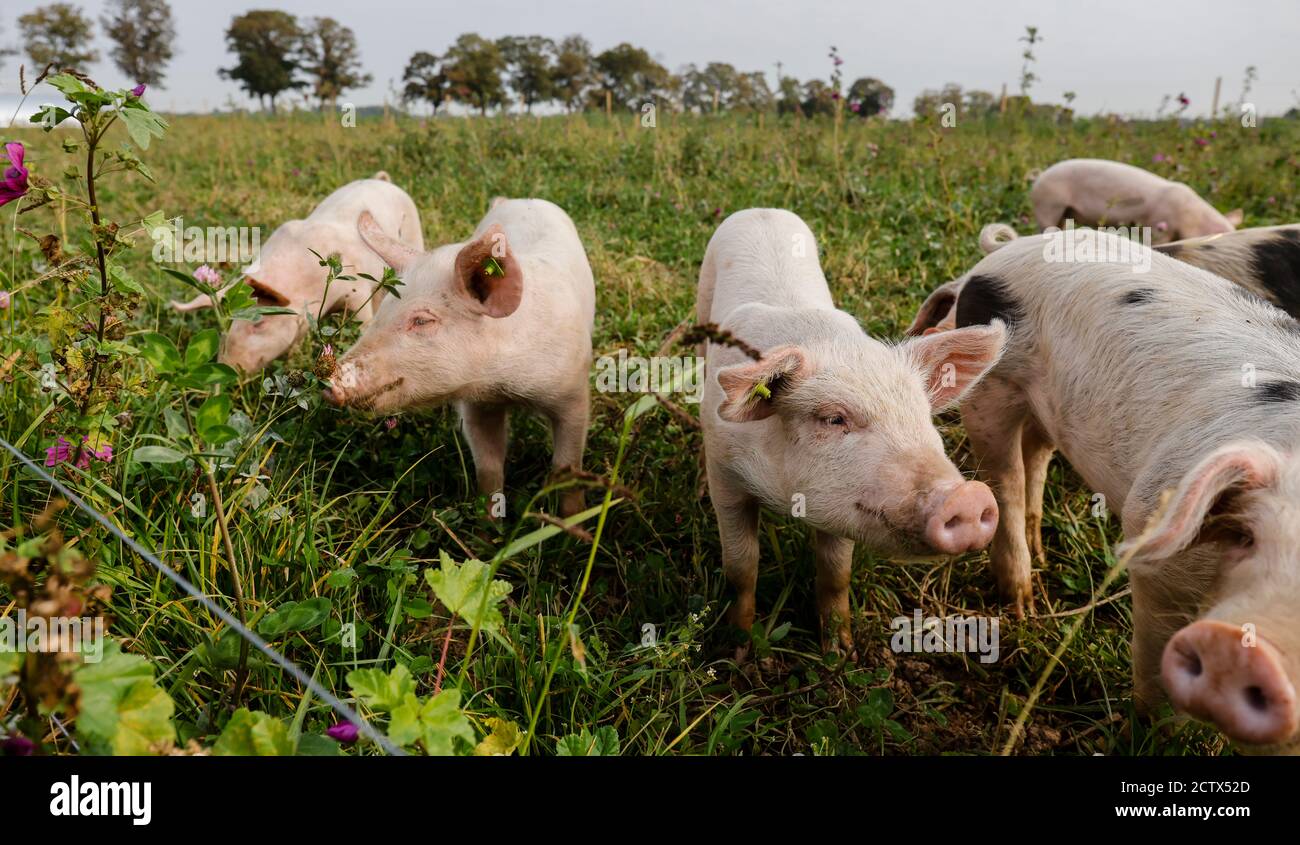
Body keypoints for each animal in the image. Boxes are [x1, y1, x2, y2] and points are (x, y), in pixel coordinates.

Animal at [170, 171, 423, 371]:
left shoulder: (356, 290)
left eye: (259, 323)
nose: (228, 368)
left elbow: (362, 318)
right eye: (228, 325)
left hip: (413, 230)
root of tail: (382, 180)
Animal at [323, 197, 595, 512]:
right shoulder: (477, 406)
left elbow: (567, 468)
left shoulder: (573, 394)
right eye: (383, 311)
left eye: (422, 321)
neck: (505, 385)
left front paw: (574, 520)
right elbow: (488, 468)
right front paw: (487, 522)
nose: (329, 380)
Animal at [702, 206, 1003, 655]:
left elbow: (835, 572)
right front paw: (737, 652)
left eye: (922, 414)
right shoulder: (723, 472)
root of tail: (762, 209)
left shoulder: (846, 507)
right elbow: (741, 569)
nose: (967, 496)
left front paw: (840, 652)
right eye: (834, 419)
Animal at [946, 227, 1300, 748]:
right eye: (1249, 537)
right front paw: (1148, 735)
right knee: (1004, 480)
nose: (1243, 652)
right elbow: (1155, 666)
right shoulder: (1156, 545)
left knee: (1036, 458)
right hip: (992, 389)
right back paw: (1024, 605)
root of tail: (1006, 250)